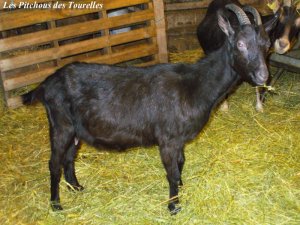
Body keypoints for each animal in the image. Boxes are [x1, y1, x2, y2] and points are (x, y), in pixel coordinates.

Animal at [22, 4, 268, 214]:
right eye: (240, 44)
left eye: (265, 44)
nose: (263, 76)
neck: (196, 85)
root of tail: (46, 84)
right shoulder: (168, 139)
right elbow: (171, 171)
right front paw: (173, 206)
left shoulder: (178, 140)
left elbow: (181, 163)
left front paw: (180, 188)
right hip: (60, 125)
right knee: (54, 163)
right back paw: (56, 204)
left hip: (75, 130)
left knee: (69, 158)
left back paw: (76, 187)